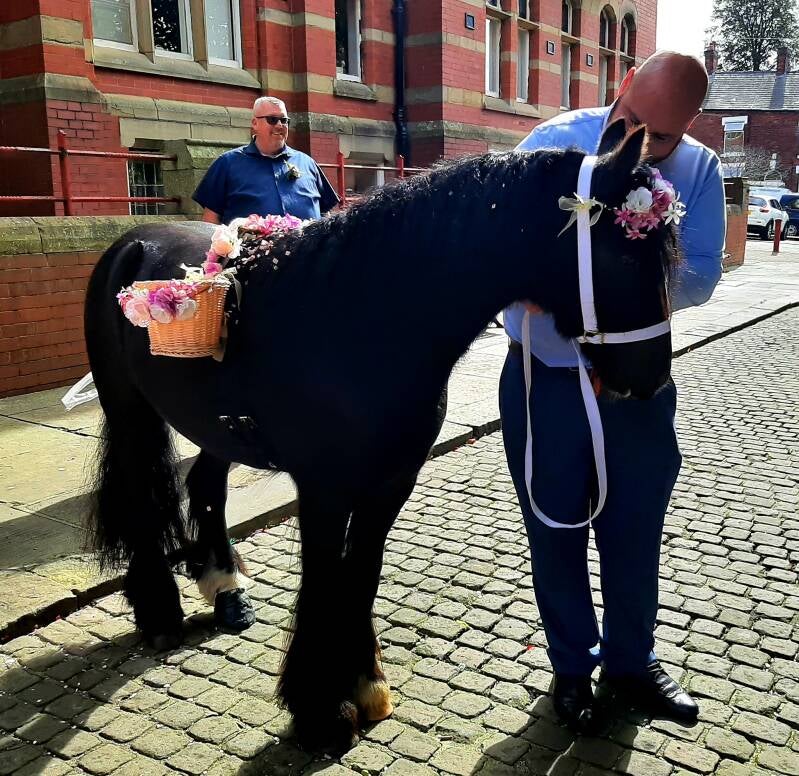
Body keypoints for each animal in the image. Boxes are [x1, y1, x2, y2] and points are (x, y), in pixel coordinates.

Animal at [83, 121, 678, 750]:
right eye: (627, 251)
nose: (649, 378)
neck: (362, 317)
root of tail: (132, 242)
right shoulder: (324, 489)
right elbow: (324, 578)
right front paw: (319, 709)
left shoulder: (391, 481)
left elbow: (361, 573)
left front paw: (365, 685)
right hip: (128, 411)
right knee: (140, 496)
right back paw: (158, 614)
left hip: (217, 430)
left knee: (204, 487)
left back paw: (225, 587)